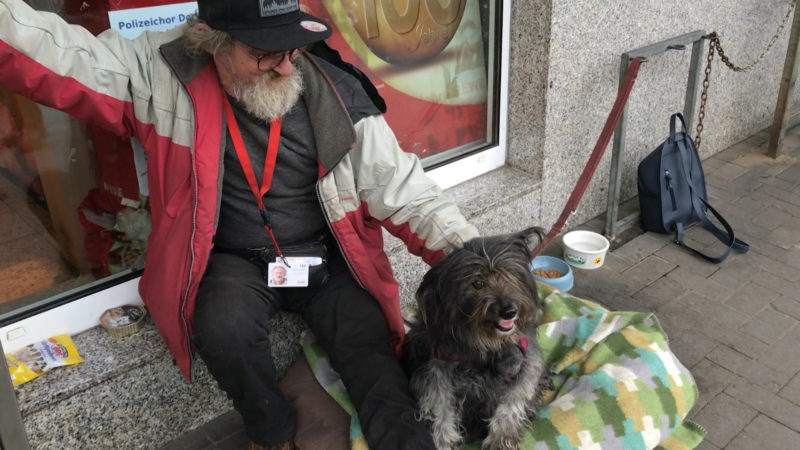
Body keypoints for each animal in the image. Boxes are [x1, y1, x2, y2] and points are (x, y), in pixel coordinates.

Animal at [404, 229, 548, 450]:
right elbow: (440, 408)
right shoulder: (435, 371)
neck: (483, 345)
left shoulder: (527, 362)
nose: (509, 312)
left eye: (510, 274)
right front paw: (444, 441)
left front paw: (501, 438)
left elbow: (513, 402)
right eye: (477, 283)